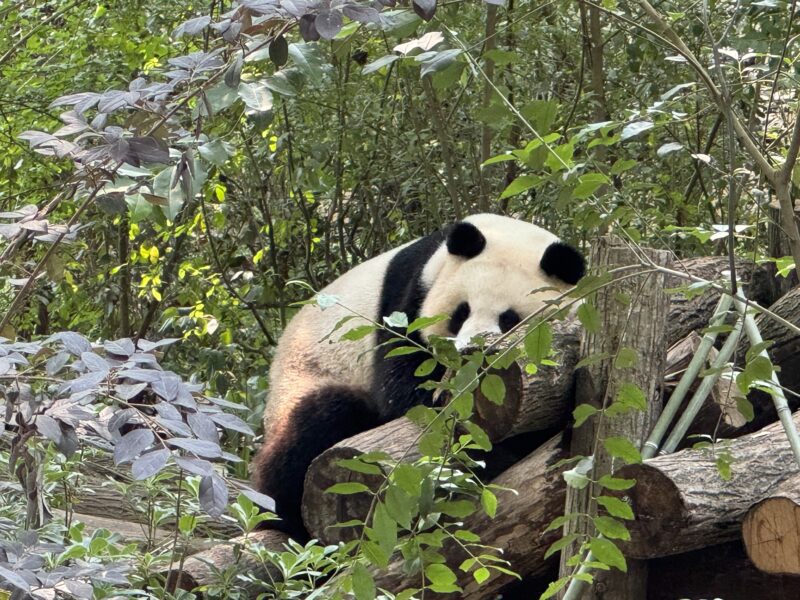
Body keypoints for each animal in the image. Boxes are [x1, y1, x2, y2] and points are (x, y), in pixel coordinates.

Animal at [252, 213, 586, 539]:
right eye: (461, 313)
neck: (509, 235)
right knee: (315, 425)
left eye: (510, 320)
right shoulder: (408, 297)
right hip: (305, 377)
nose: (469, 357)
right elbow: (406, 389)